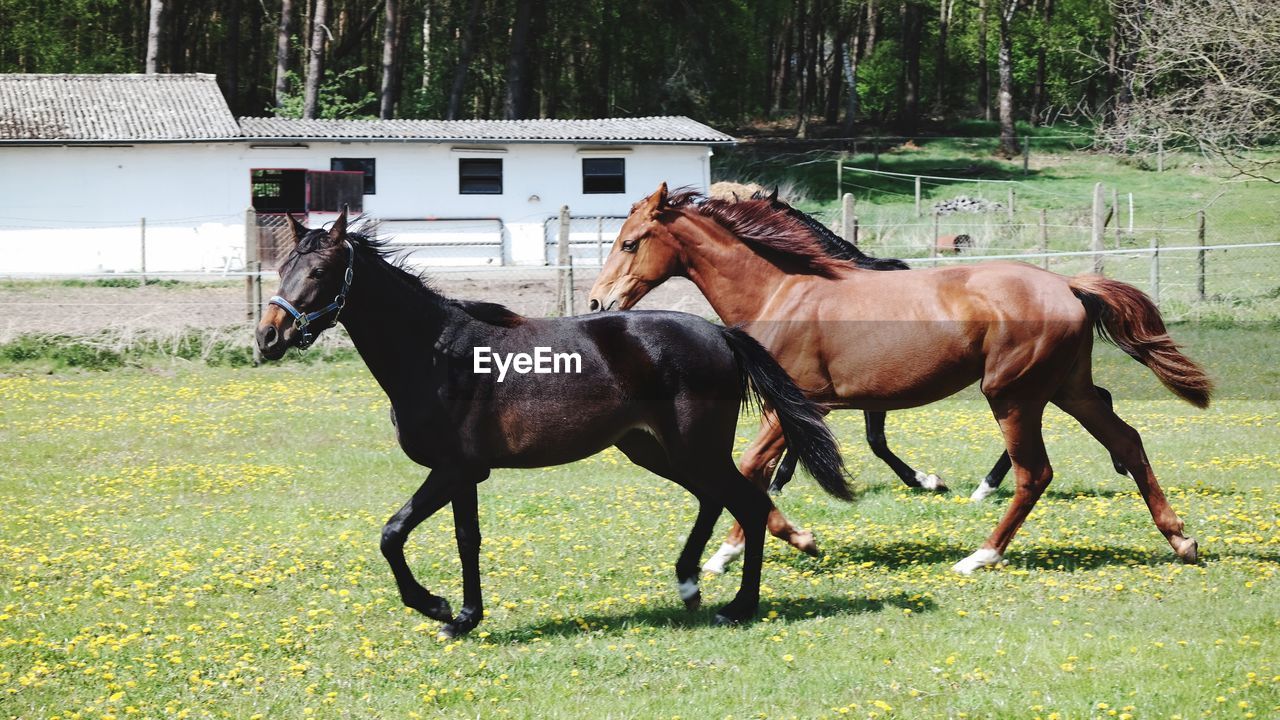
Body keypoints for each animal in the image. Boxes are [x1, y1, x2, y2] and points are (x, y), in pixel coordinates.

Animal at [252, 210, 849, 635]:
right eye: (283, 269)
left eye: (320, 271)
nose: (268, 337)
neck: (436, 354)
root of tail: (720, 334)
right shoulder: (465, 474)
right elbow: (466, 539)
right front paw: (465, 618)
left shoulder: (452, 470)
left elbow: (392, 534)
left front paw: (437, 607)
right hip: (655, 450)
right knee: (715, 500)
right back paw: (689, 586)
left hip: (692, 449)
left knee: (746, 503)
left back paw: (738, 605)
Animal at [588, 183, 1208, 571]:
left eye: (629, 242)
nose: (598, 302)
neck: (781, 291)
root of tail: (1069, 284)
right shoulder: (800, 410)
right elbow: (764, 470)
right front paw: (751, 547)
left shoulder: (797, 405)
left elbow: (749, 469)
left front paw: (739, 551)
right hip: (1067, 390)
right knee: (1126, 441)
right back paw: (1182, 541)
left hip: (1012, 395)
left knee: (1035, 473)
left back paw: (980, 555)